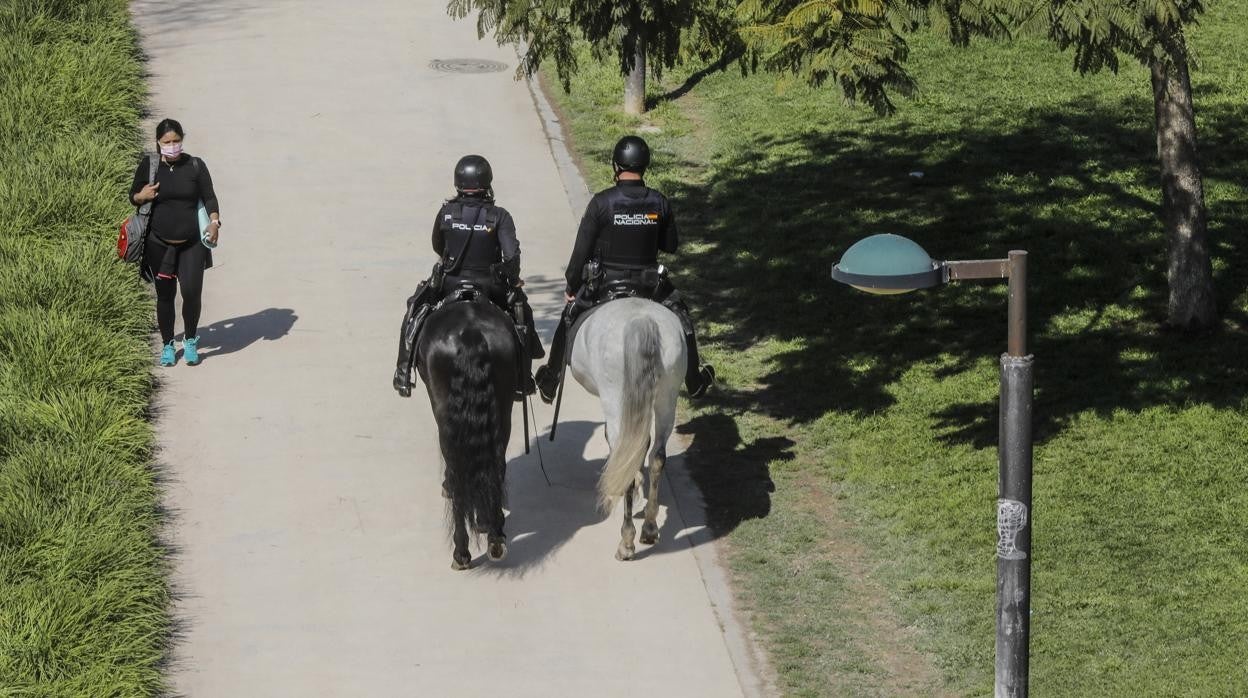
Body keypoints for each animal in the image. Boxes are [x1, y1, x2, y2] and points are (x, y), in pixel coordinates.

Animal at [416, 297, 519, 571]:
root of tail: (470, 332)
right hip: (502, 409)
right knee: (495, 464)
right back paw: (495, 536)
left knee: (457, 470)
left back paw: (461, 552)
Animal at [566, 297, 683, 559]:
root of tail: (642, 320)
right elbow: (642, 445)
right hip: (667, 397)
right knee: (658, 456)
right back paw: (649, 528)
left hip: (614, 397)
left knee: (626, 450)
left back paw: (626, 542)